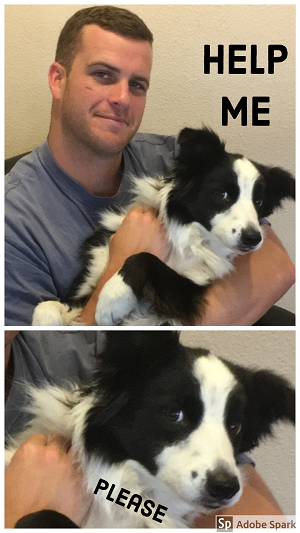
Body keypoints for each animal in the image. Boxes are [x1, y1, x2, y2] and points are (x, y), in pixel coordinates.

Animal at [31, 128, 294, 324]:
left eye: (259, 201)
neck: (185, 233)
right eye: (222, 193)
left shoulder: (188, 292)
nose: (253, 238)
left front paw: (111, 300)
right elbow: (44, 309)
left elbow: (143, 258)